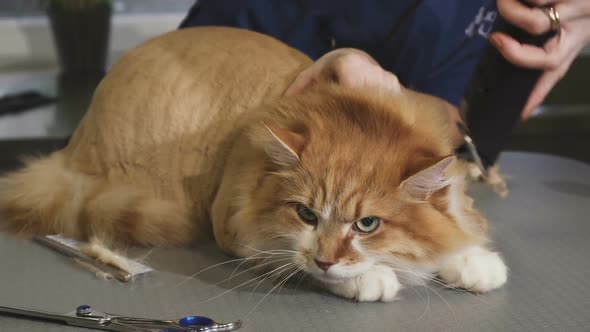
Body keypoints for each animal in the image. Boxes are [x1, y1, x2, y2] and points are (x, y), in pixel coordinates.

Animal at [0, 26, 508, 300]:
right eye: (306, 215)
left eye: (367, 224)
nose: (326, 259)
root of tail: (79, 135)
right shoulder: (237, 223)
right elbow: (297, 259)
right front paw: (371, 277)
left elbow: (455, 229)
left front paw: (473, 261)